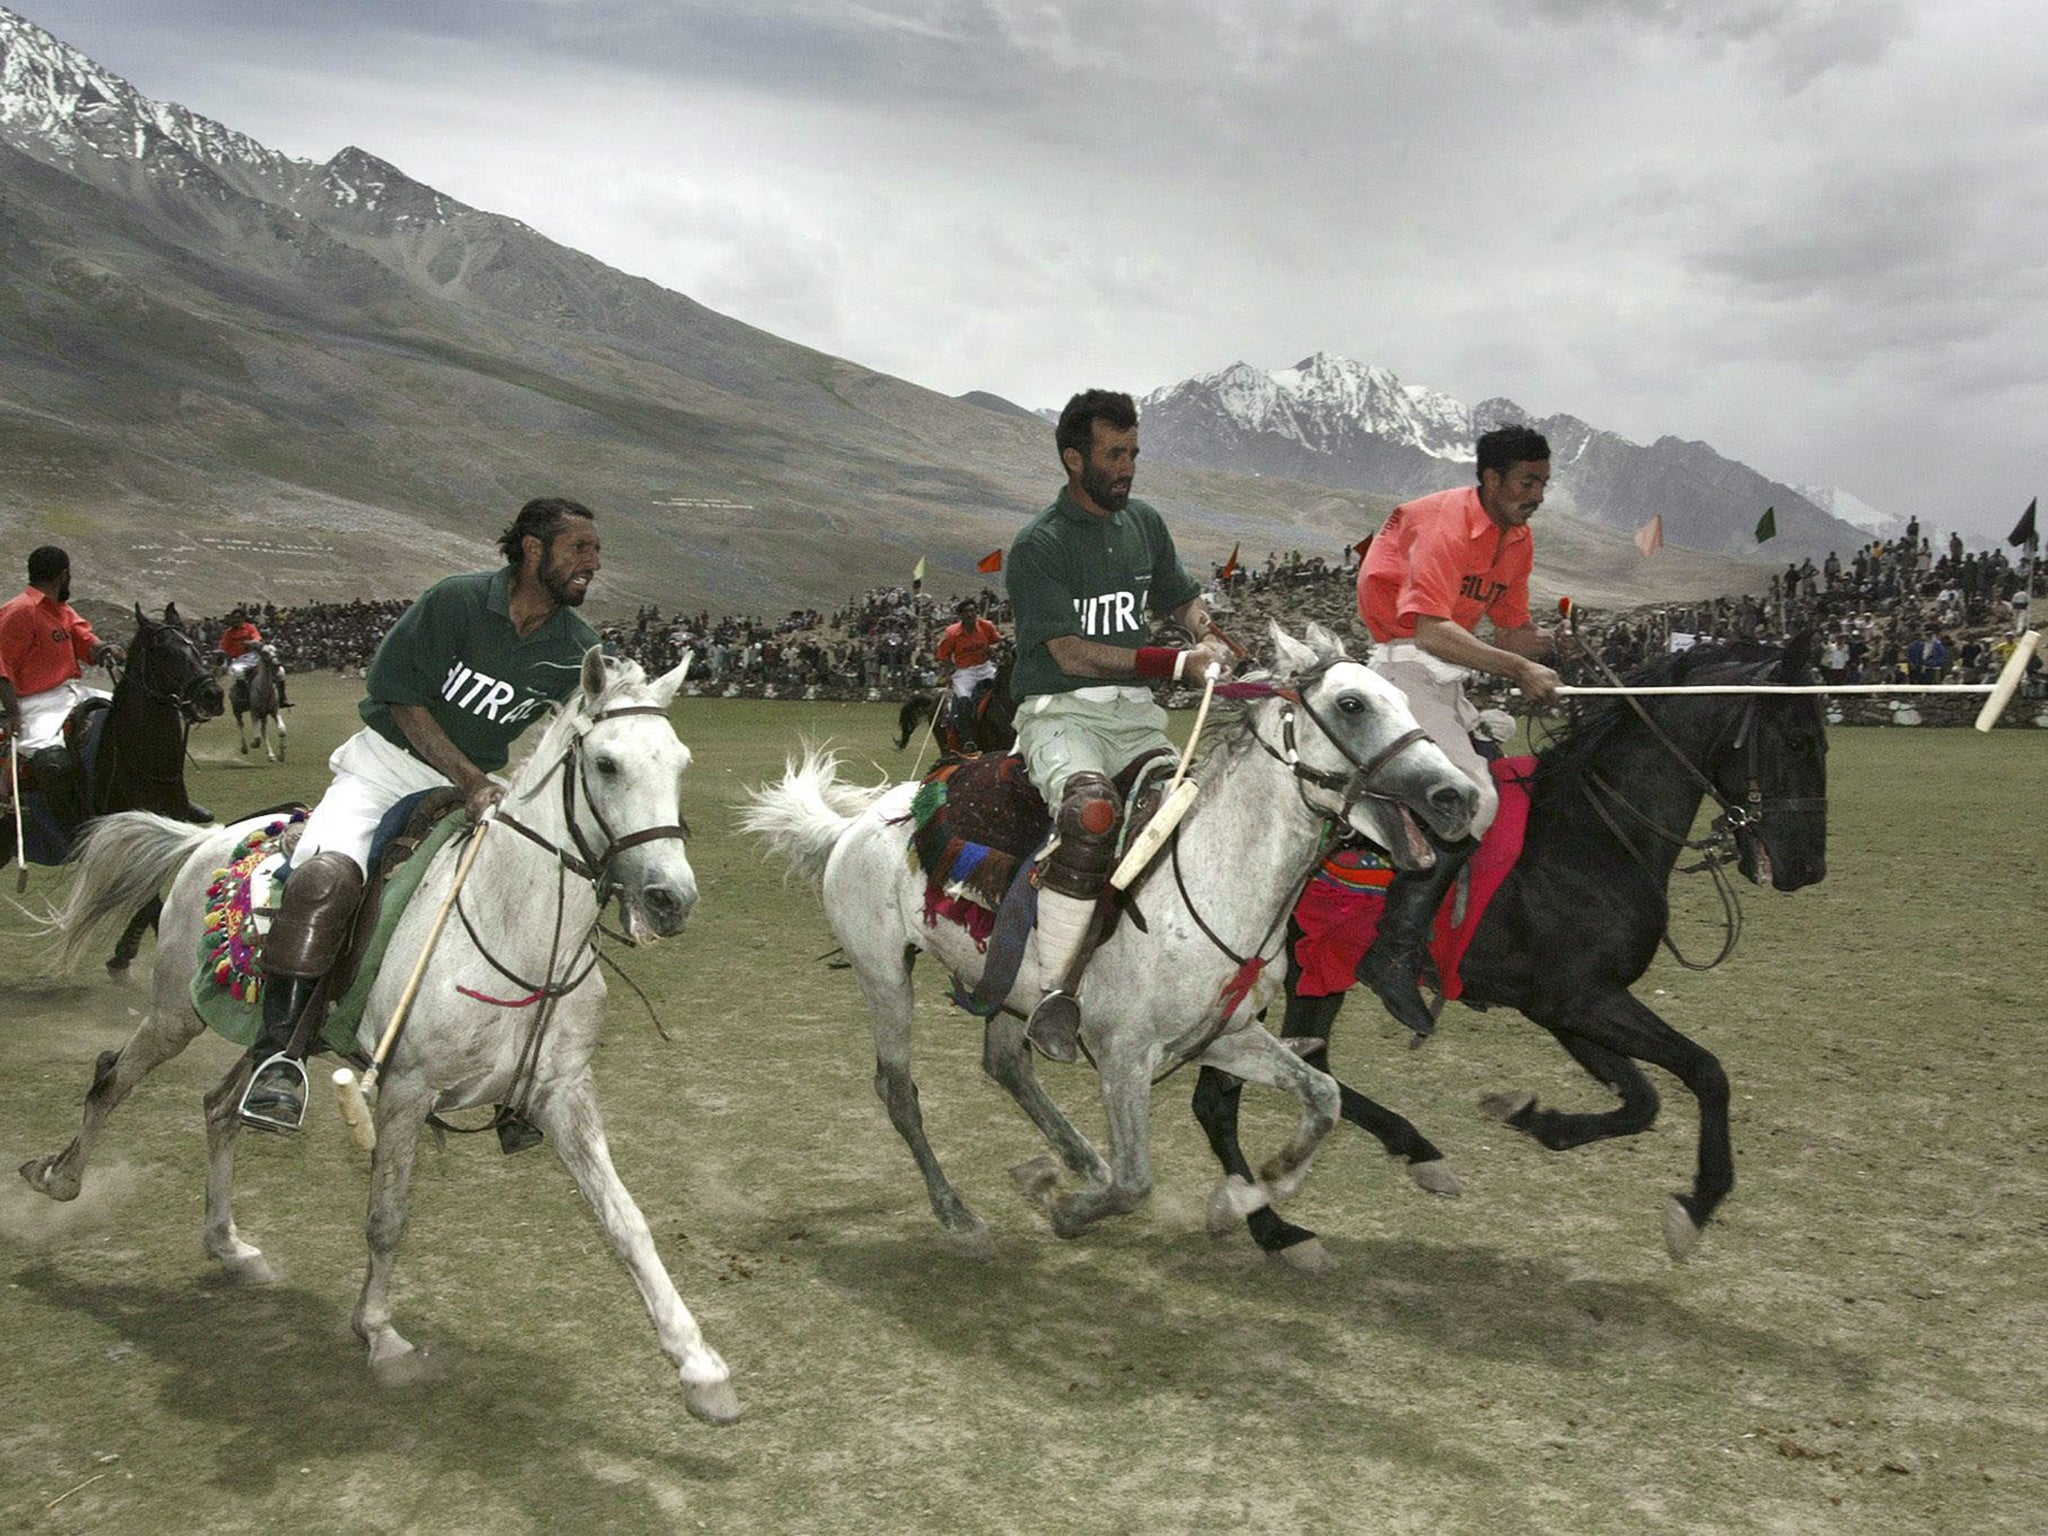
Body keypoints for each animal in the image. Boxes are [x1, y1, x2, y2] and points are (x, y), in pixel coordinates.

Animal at [3, 606, 226, 966]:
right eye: (164, 651)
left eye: (194, 646)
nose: (213, 696)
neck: (137, 760)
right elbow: (150, 904)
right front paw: (126, 954)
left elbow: (149, 897)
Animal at [19, 651, 741, 1433]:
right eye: (606, 764)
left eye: (680, 762)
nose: (671, 900)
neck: (518, 925)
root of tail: (201, 842)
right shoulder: (405, 1090)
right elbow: (387, 1218)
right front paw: (380, 1335)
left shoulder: (562, 1092)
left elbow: (626, 1222)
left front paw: (699, 1367)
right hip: (176, 1012)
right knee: (112, 1078)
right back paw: (59, 1179)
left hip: (281, 1033)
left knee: (220, 1106)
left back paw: (229, 1241)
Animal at [745, 626, 1482, 1277]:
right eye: (1352, 704)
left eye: (1407, 700)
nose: (1460, 796)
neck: (1214, 877)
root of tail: (858, 822)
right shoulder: (1125, 1055)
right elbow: (1135, 1182)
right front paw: (1068, 1209)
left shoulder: (1224, 1035)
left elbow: (1322, 1095)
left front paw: (1254, 1192)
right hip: (882, 974)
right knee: (899, 1091)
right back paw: (960, 1216)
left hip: (1008, 989)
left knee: (1007, 1065)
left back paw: (1076, 1161)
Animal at [1196, 634, 1835, 1261]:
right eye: (1799, 741)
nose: (1808, 868)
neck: (1594, 835)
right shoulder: (1580, 1000)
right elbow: (1705, 1072)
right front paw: (1698, 1203)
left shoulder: (1565, 1009)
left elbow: (1642, 1099)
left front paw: (1538, 1119)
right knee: (1222, 1097)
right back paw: (1278, 1227)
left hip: (1310, 973)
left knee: (1288, 1073)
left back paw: (1397, 1159)